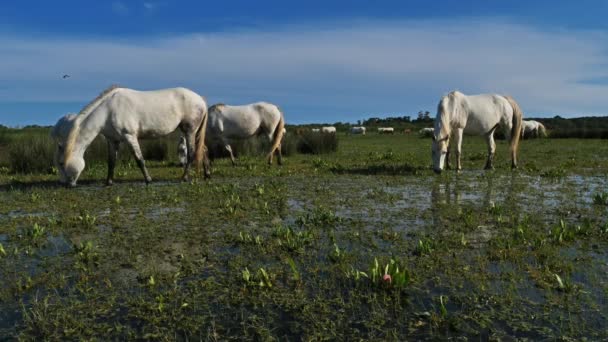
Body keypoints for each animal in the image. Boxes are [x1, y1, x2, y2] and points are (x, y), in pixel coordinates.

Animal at [59, 86, 210, 187]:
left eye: (62, 163)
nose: (68, 185)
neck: (108, 110)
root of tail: (201, 100)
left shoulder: (130, 136)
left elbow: (139, 160)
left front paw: (148, 180)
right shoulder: (113, 141)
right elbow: (111, 162)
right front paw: (108, 182)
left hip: (189, 131)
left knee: (192, 153)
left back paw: (184, 178)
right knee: (203, 150)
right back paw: (207, 174)